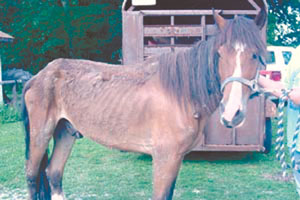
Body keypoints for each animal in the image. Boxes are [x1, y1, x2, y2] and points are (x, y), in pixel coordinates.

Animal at [24, 9, 268, 200]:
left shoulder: (175, 159)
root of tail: (40, 75)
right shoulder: (164, 158)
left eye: (256, 55)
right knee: (32, 175)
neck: (181, 94)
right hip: (41, 134)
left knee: (53, 173)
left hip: (66, 132)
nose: (232, 113)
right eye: (220, 54)